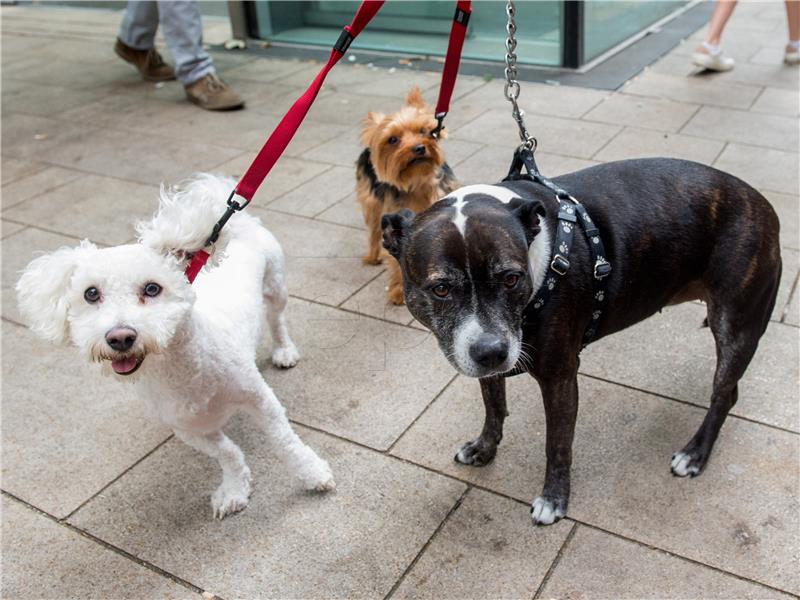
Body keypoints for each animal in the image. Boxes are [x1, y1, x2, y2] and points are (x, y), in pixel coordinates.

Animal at [16, 175, 334, 520]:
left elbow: (285, 441)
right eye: (91, 294)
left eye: (152, 288)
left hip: (276, 285)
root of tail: (238, 218)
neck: (182, 373)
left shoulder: (261, 400)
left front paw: (313, 473)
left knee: (277, 320)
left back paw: (284, 350)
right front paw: (235, 488)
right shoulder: (188, 429)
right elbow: (227, 453)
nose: (120, 337)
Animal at [382, 158, 780, 524]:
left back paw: (695, 454)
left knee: (725, 392)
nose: (491, 352)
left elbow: (557, 443)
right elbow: (493, 408)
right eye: (441, 288)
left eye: (511, 278)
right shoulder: (486, 358)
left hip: (736, 324)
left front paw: (553, 500)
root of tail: (762, 202)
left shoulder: (560, 377)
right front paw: (484, 448)